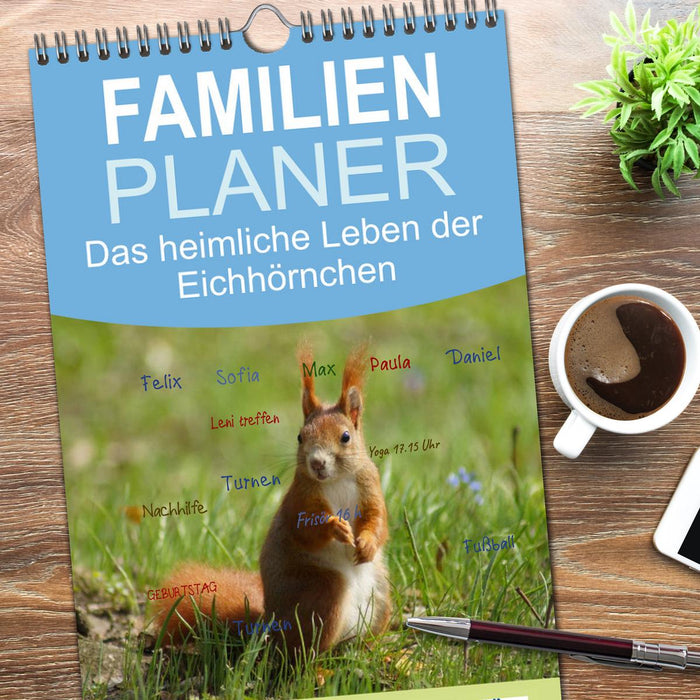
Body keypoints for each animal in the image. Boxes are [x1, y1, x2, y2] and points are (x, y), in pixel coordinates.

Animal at [153, 345, 391, 654]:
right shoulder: (299, 499)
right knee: (305, 651)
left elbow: (378, 520)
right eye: (300, 436)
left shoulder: (371, 487)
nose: (316, 463)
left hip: (381, 594)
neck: (336, 480)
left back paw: (377, 652)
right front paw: (335, 527)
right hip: (322, 591)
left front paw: (367, 543)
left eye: (346, 436)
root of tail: (270, 625)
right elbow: (304, 529)